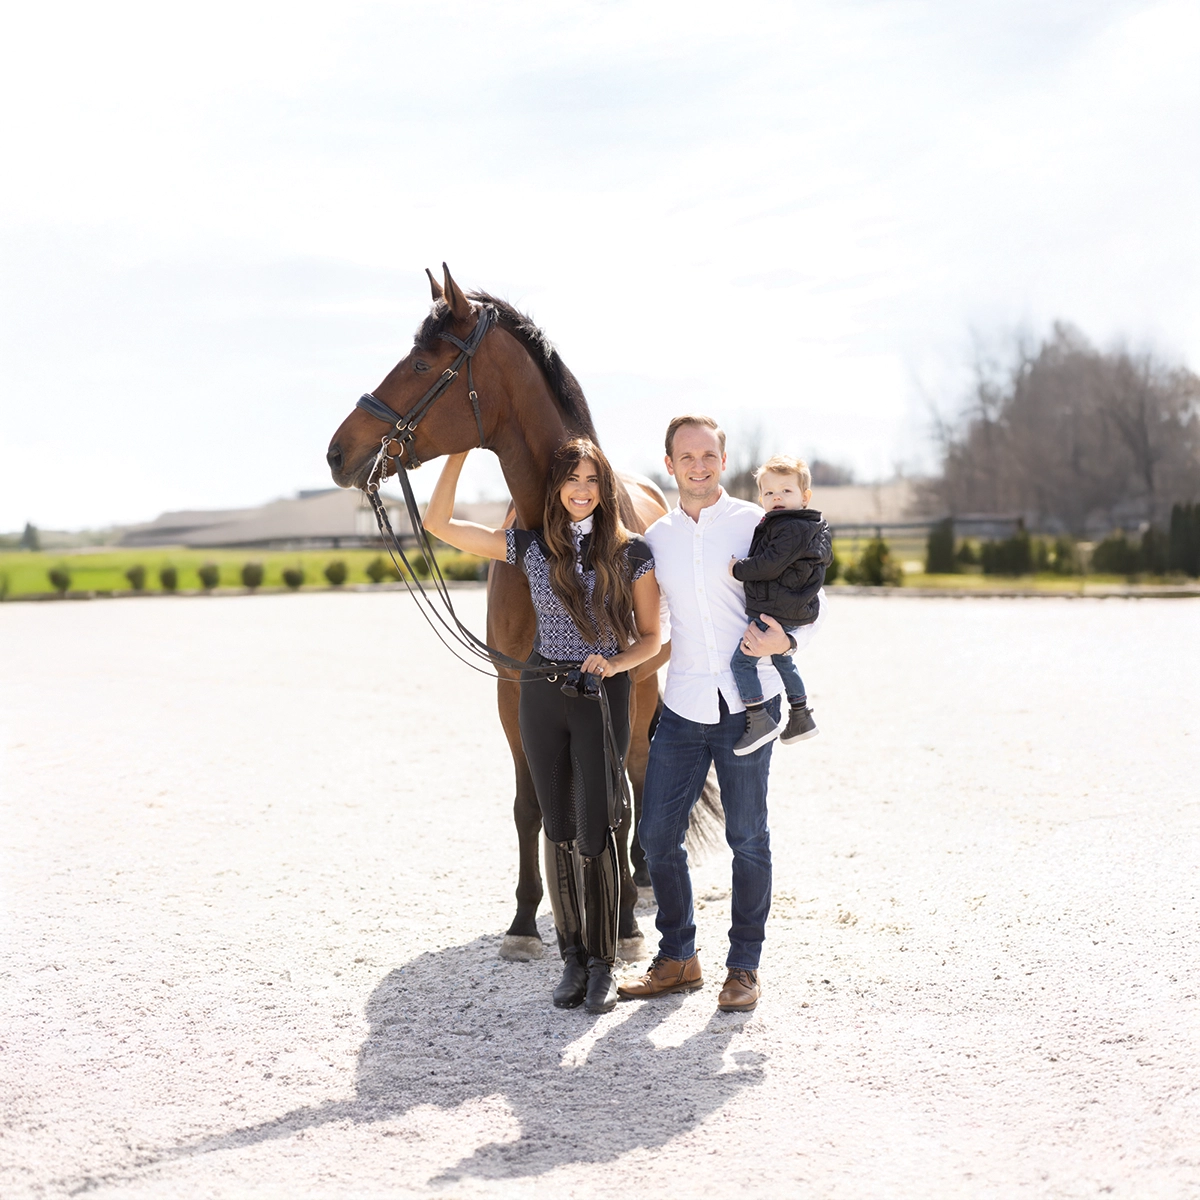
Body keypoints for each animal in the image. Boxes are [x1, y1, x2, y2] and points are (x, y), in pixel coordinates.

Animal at [327, 264, 672, 961]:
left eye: (422, 361)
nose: (338, 452)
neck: (561, 530)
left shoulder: (618, 682)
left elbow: (617, 794)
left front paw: (621, 922)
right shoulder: (515, 688)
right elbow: (528, 804)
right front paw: (523, 921)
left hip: (643, 689)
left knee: (639, 775)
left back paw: (641, 880)